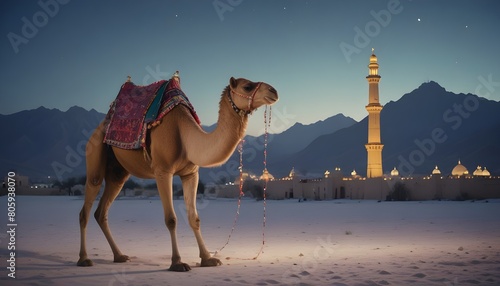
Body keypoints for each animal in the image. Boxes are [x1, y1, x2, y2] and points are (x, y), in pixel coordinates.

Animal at [79, 75, 282, 270]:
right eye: (247, 86)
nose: (274, 91)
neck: (185, 135)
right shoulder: (163, 171)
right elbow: (171, 219)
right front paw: (177, 263)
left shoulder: (190, 174)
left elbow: (194, 218)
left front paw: (208, 259)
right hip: (95, 149)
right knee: (88, 203)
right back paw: (84, 259)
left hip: (118, 173)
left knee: (102, 211)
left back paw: (119, 256)